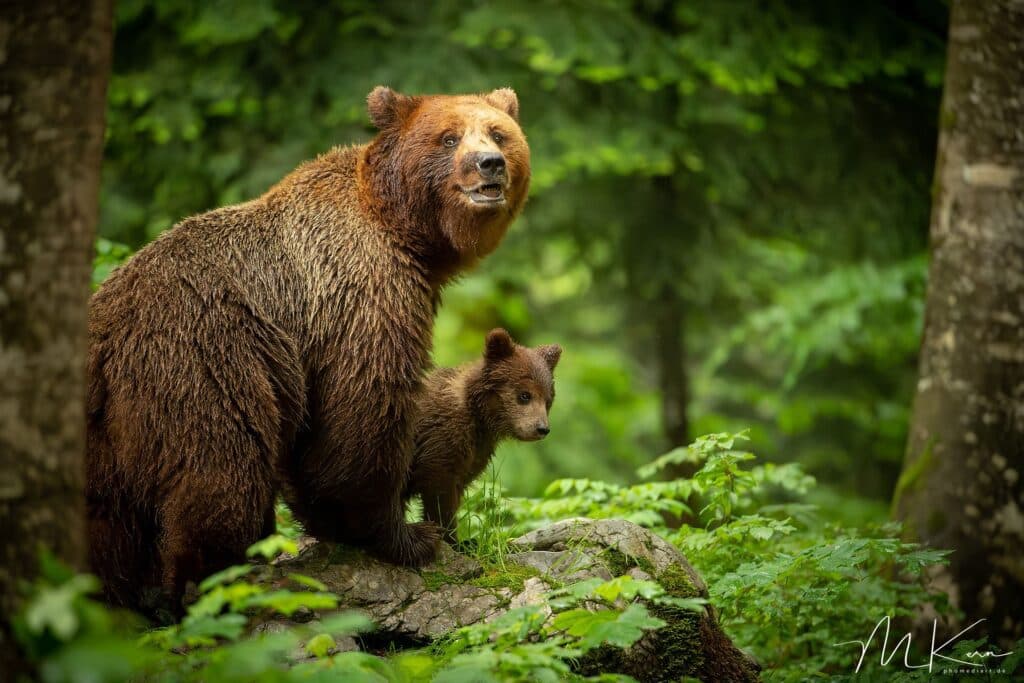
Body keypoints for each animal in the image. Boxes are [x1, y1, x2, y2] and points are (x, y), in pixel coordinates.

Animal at [85, 86, 531, 613]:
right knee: (223, 478)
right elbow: (361, 421)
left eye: (498, 133)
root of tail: (109, 338)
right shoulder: (363, 292)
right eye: (449, 137)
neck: (406, 231)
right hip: (205, 368)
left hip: (102, 433)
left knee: (107, 518)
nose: (489, 164)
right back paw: (205, 580)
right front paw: (406, 536)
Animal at [406, 328, 560, 545]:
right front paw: (452, 539)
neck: (480, 417)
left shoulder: (476, 451)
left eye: (548, 400)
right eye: (525, 395)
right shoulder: (440, 439)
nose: (541, 429)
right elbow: (439, 491)